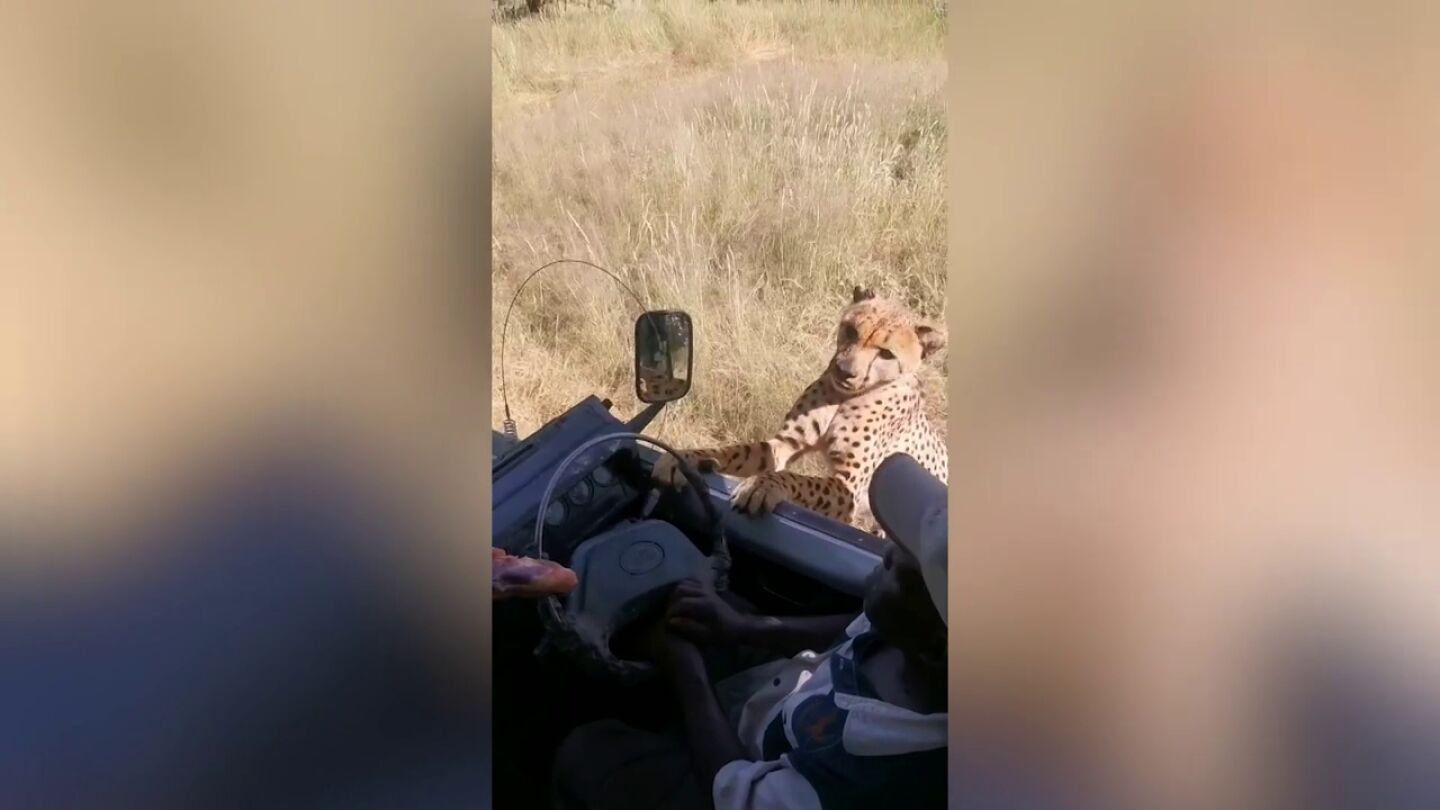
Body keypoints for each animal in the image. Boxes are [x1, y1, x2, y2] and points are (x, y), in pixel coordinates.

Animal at [652, 286, 947, 534]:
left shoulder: (850, 486)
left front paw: (762, 485)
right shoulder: (782, 444)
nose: (845, 370)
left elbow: (798, 479)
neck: (844, 397)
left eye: (886, 354)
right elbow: (734, 451)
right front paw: (683, 458)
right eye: (851, 330)